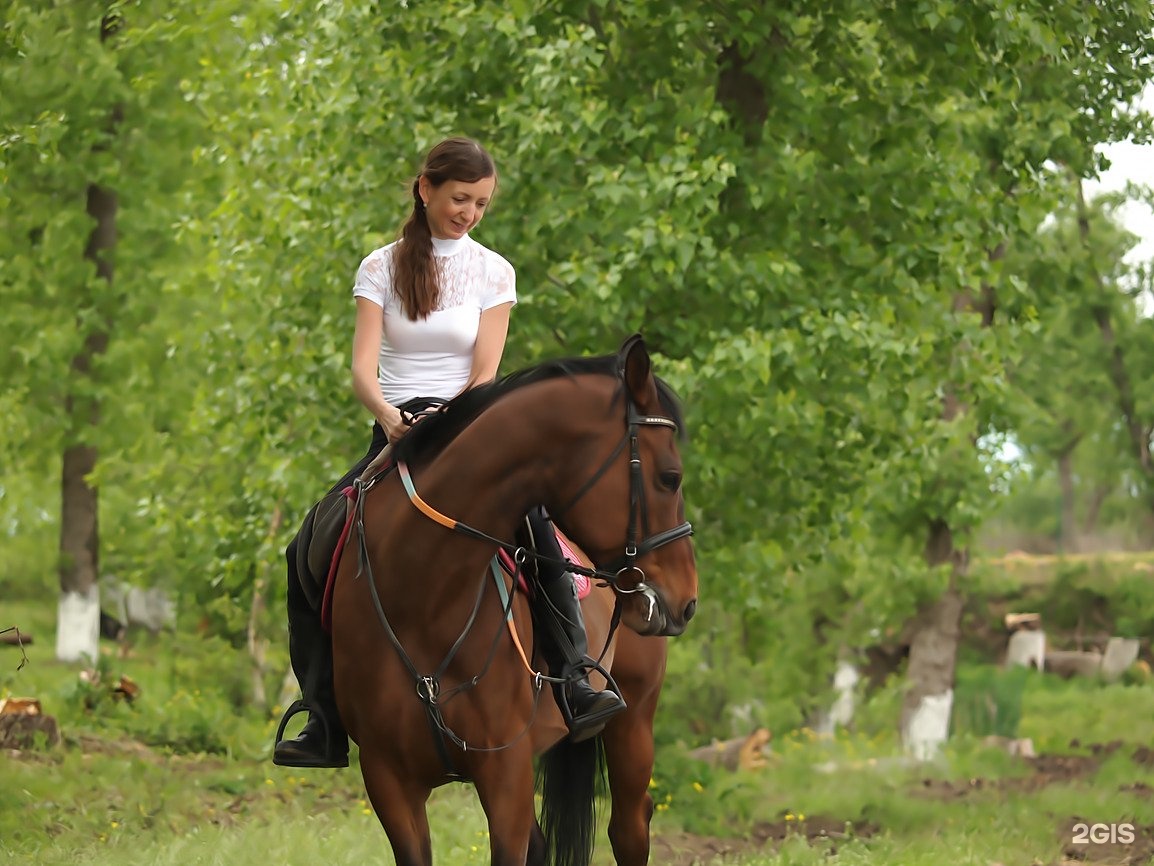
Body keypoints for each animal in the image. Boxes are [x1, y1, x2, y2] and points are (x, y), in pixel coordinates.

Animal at [330, 337, 697, 866]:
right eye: (670, 477)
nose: (686, 601)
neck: (424, 592)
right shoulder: (388, 781)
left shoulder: (506, 776)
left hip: (635, 724)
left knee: (629, 828)